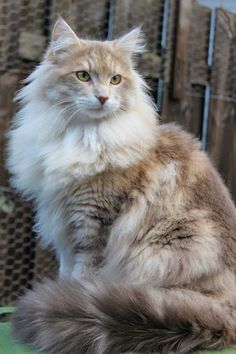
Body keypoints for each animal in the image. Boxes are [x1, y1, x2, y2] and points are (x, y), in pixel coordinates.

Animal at [6, 18, 236, 354]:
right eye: (83, 76)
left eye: (115, 80)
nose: (103, 97)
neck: (84, 136)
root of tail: (228, 316)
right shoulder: (66, 229)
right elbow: (66, 273)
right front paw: (59, 297)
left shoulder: (94, 225)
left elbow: (82, 276)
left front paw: (65, 301)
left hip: (173, 245)